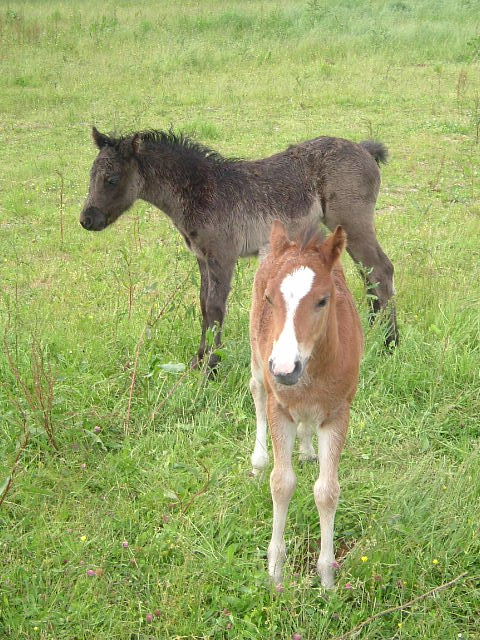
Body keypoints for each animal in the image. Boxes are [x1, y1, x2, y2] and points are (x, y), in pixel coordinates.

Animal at [249, 222, 362, 588]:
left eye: (323, 300)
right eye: (270, 298)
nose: (286, 369)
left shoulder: (339, 413)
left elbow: (327, 491)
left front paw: (326, 577)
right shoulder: (279, 410)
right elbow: (281, 483)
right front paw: (275, 572)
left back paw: (309, 449)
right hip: (258, 359)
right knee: (256, 390)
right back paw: (258, 461)